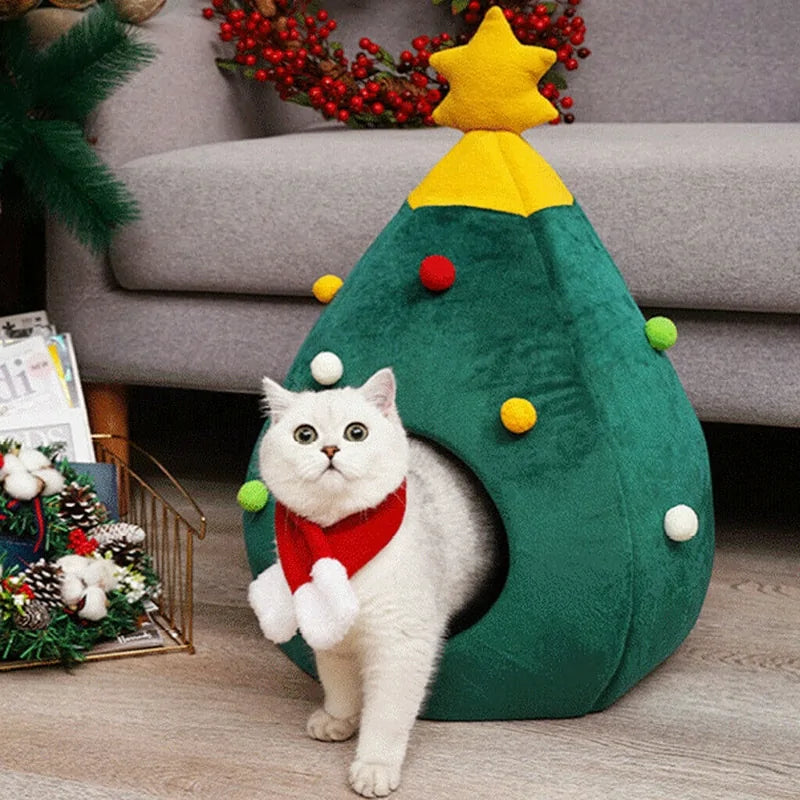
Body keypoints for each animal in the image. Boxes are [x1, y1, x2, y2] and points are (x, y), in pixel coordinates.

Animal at [250, 368, 504, 800]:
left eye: (356, 432)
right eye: (304, 435)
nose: (330, 449)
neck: (340, 540)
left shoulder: (401, 645)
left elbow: (386, 717)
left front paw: (374, 766)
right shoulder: (333, 636)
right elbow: (340, 687)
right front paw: (339, 719)